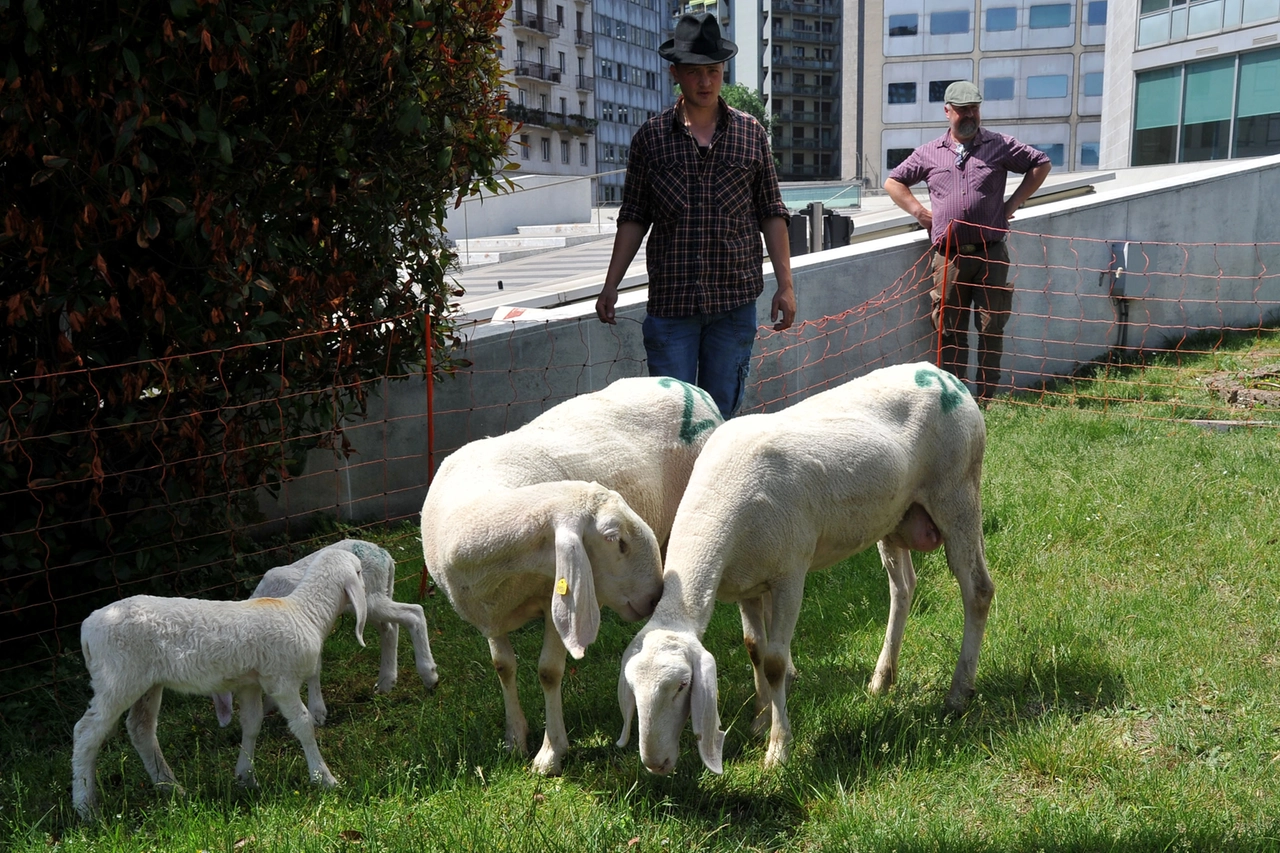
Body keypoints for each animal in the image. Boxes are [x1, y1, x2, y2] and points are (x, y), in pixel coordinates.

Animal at [73, 545, 368, 819]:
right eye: (359, 572)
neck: (304, 612)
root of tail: (87, 626)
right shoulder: (281, 680)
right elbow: (303, 724)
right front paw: (324, 778)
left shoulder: (250, 683)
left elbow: (252, 724)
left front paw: (245, 778)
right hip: (117, 677)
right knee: (86, 732)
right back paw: (86, 807)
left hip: (147, 682)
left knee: (140, 729)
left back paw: (171, 787)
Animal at [209, 537, 440, 722]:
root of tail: (385, 556)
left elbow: (314, 669)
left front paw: (317, 712)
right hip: (369, 603)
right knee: (390, 628)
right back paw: (386, 682)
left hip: (370, 598)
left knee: (414, 613)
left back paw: (429, 675)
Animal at [419, 376, 721, 773]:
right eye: (615, 539)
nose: (654, 595)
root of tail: (689, 386)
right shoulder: (491, 611)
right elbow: (503, 666)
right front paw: (515, 737)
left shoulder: (555, 605)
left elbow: (549, 671)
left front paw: (550, 753)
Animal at [614, 361, 993, 773]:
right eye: (632, 689)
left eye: (682, 685)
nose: (654, 764)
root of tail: (941, 373)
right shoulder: (746, 583)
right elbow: (754, 648)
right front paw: (761, 718)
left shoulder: (789, 575)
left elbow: (775, 662)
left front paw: (778, 749)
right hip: (894, 516)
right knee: (903, 587)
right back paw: (882, 679)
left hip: (957, 491)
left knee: (977, 590)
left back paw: (958, 693)